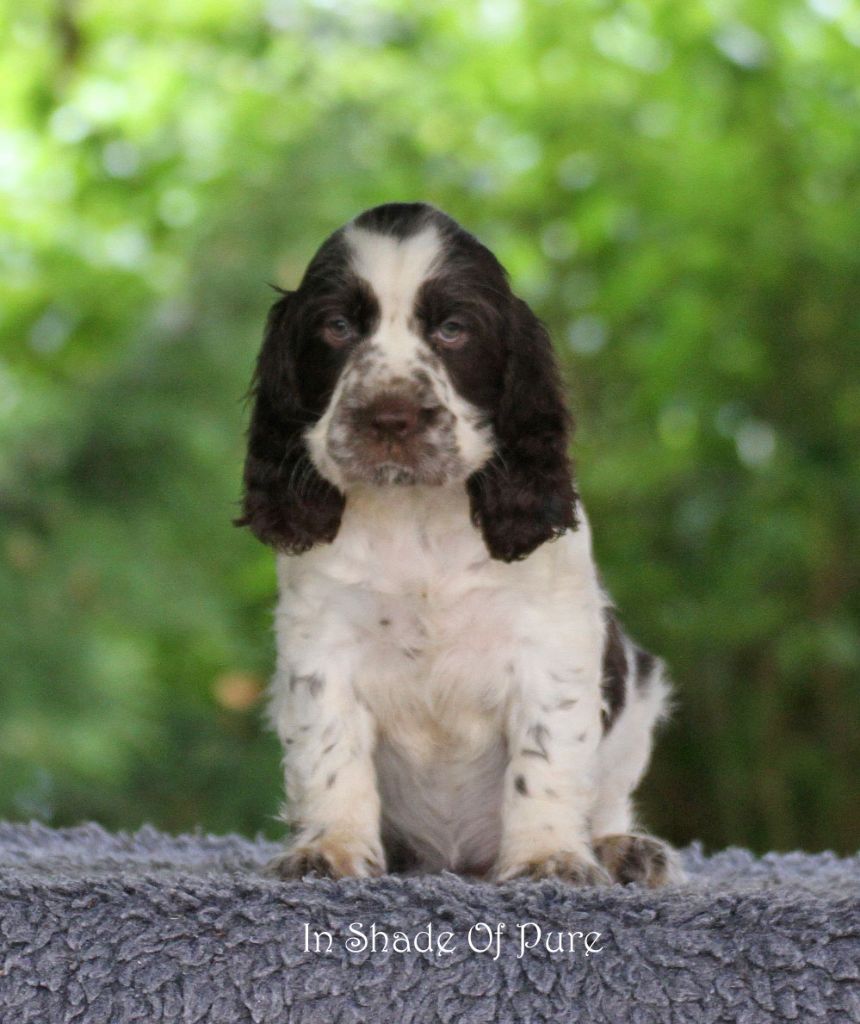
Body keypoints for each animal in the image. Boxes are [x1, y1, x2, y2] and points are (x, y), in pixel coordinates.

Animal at [236, 201, 679, 888]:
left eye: (452, 330)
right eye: (337, 327)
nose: (390, 419)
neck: (417, 517)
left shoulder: (550, 638)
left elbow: (546, 755)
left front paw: (548, 855)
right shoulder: (321, 638)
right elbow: (330, 750)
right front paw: (330, 847)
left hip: (639, 697)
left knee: (606, 798)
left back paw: (620, 848)